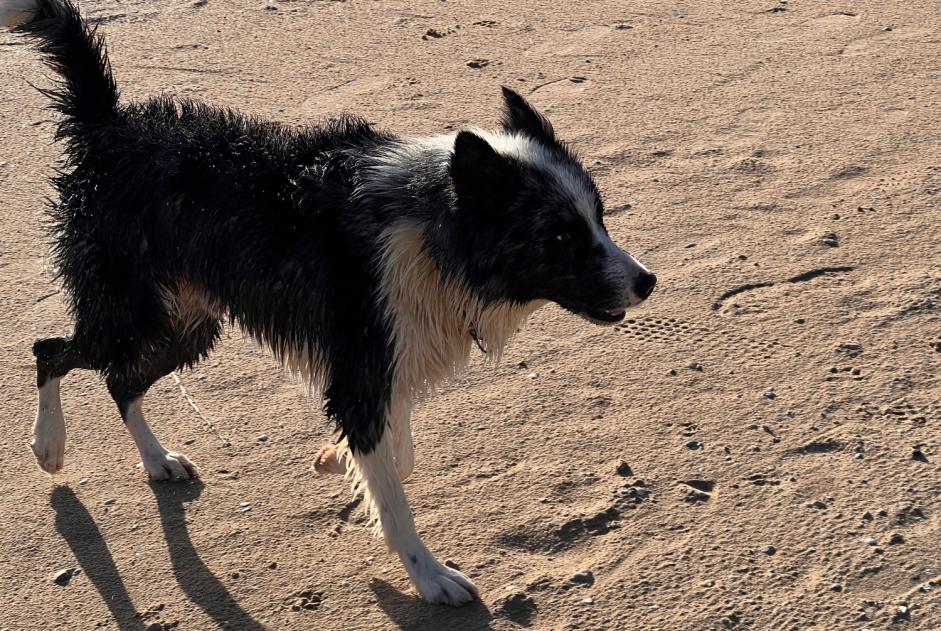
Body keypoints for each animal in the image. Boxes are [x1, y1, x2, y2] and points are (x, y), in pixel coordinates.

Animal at [3, 0, 652, 608]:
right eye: (560, 236)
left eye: (599, 217)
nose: (647, 282)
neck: (434, 225)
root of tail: (108, 124)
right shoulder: (361, 368)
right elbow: (394, 496)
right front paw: (430, 577)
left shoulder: (384, 362)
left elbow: (397, 455)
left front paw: (337, 460)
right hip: (130, 313)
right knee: (51, 350)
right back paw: (48, 445)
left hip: (186, 325)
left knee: (120, 381)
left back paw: (157, 459)